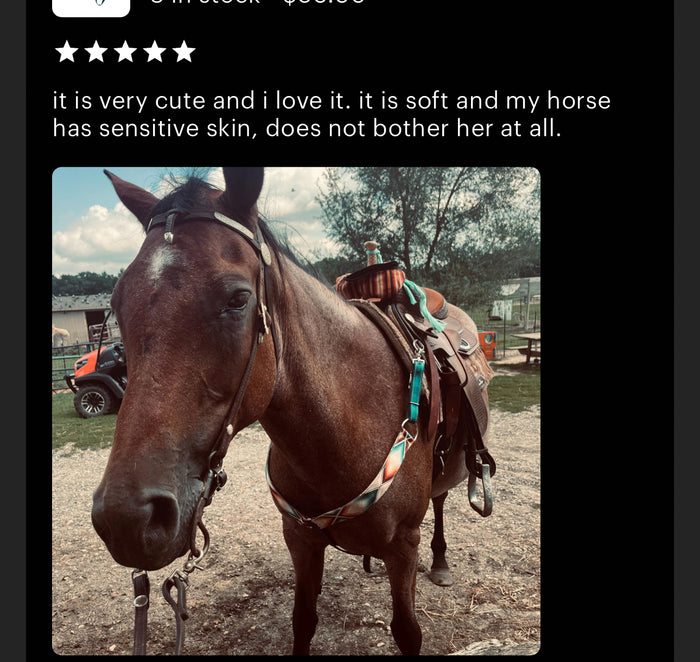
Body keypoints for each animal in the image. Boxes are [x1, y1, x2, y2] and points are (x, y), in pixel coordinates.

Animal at [91, 167, 491, 655]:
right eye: (116, 306)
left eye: (238, 299)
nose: (126, 519)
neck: (342, 431)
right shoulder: (299, 540)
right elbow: (303, 620)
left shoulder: (402, 545)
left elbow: (408, 631)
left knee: (441, 500)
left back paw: (440, 562)